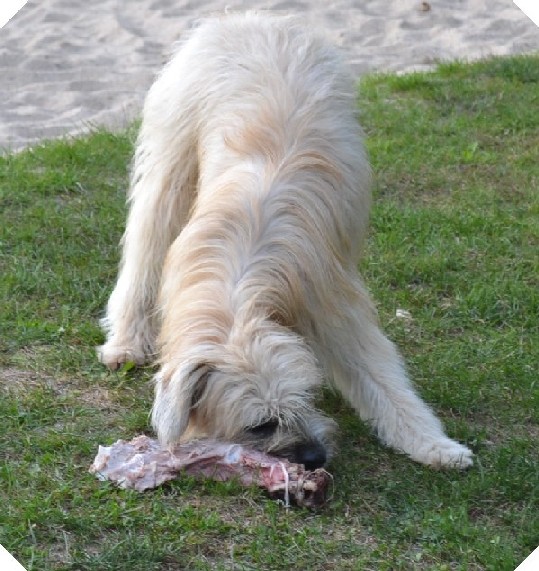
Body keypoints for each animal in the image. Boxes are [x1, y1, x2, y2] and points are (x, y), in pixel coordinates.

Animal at [98, 12, 473, 470]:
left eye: (306, 397)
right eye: (260, 425)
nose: (315, 457)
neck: (237, 291)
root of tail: (250, 19)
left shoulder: (332, 307)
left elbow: (382, 377)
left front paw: (434, 445)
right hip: (171, 162)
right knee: (145, 246)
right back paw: (126, 341)